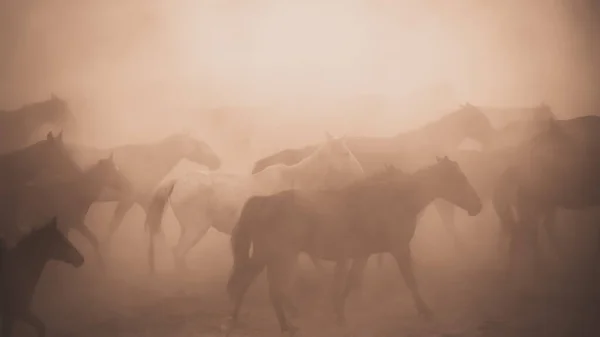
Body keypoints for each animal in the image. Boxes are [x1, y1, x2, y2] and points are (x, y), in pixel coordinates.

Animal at [144, 133, 366, 272]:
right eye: (345, 153)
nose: (360, 174)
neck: (295, 179)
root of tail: (177, 181)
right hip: (196, 228)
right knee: (179, 252)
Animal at [225, 156, 482, 334]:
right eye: (459, 179)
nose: (477, 206)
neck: (395, 199)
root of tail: (263, 202)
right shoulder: (399, 249)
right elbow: (410, 280)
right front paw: (426, 311)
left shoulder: (362, 254)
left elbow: (350, 282)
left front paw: (339, 315)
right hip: (278, 257)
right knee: (263, 287)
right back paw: (283, 325)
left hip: (270, 257)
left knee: (250, 283)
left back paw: (244, 320)